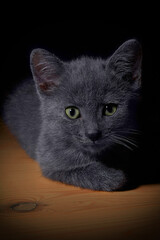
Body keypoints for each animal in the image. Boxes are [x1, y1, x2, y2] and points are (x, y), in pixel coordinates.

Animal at [2, 39, 142, 192]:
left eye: (110, 109)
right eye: (72, 112)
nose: (93, 134)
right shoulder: (48, 156)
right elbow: (73, 169)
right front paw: (112, 177)